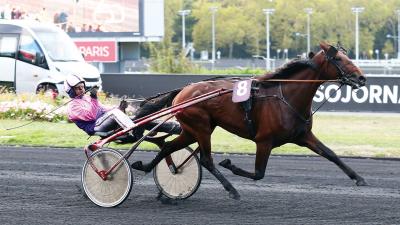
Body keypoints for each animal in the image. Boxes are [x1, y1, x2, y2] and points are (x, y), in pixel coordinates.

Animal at [131, 41, 366, 200]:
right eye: (339, 59)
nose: (362, 78)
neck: (287, 97)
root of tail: (183, 90)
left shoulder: (303, 135)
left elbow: (331, 154)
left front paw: (358, 178)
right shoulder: (264, 141)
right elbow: (259, 174)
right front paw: (230, 164)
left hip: (192, 129)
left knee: (167, 147)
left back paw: (151, 168)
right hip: (201, 128)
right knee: (206, 160)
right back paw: (231, 189)